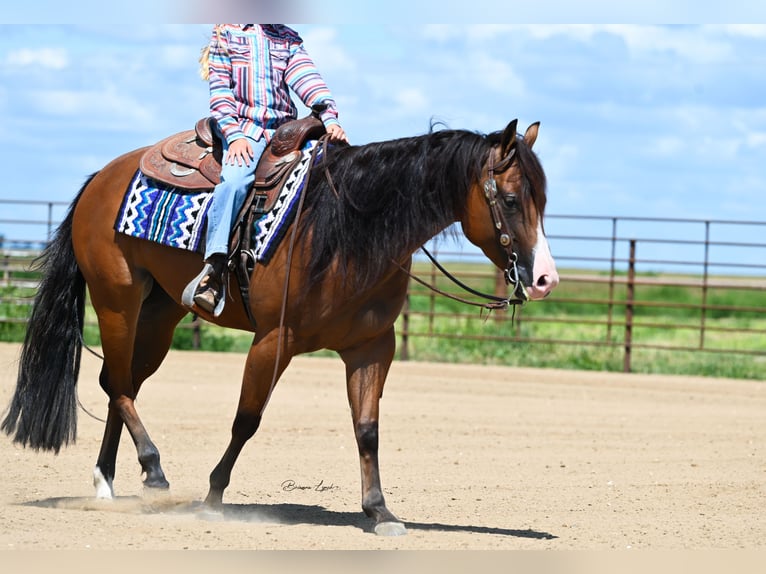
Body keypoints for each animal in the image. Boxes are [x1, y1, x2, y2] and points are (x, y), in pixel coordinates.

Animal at [0, 119, 560, 536]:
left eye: (544, 200)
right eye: (512, 200)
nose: (544, 279)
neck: (346, 228)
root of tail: (102, 177)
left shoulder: (372, 347)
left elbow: (367, 429)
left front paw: (380, 511)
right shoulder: (275, 340)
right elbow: (246, 420)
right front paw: (213, 495)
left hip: (161, 314)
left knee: (123, 385)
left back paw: (108, 482)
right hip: (117, 300)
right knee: (116, 383)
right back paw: (153, 470)